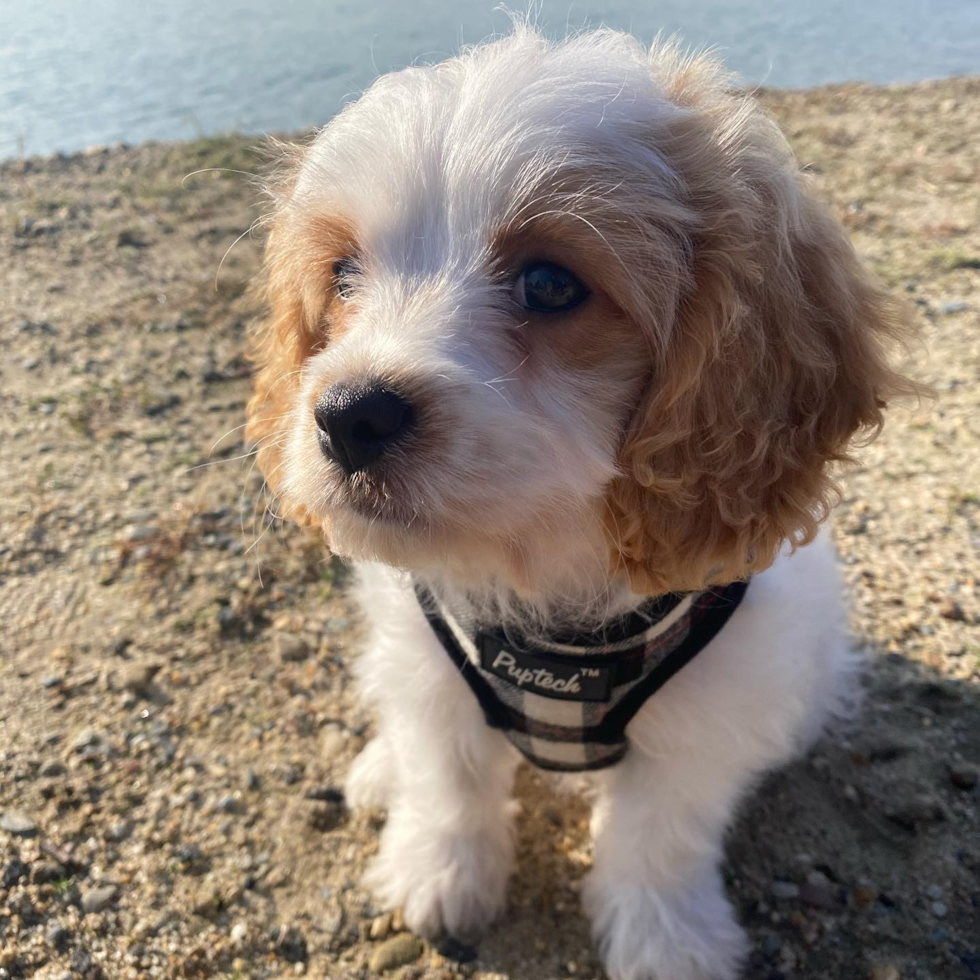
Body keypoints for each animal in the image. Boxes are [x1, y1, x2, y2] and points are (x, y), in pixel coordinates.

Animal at [245, 23, 912, 980]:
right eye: (341, 274)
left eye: (552, 285)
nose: (348, 415)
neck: (544, 596)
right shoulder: (430, 664)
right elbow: (448, 778)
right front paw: (439, 871)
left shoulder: (706, 714)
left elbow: (658, 838)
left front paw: (667, 939)